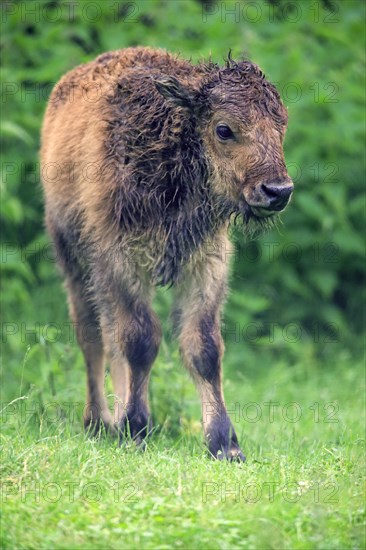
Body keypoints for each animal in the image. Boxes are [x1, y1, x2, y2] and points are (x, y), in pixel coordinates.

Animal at [40, 46, 294, 462]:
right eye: (224, 129)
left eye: (281, 125)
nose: (277, 190)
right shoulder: (120, 261)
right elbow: (141, 340)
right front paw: (134, 430)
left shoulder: (206, 264)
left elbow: (204, 348)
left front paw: (225, 445)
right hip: (73, 260)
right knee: (93, 336)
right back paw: (99, 421)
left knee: (109, 338)